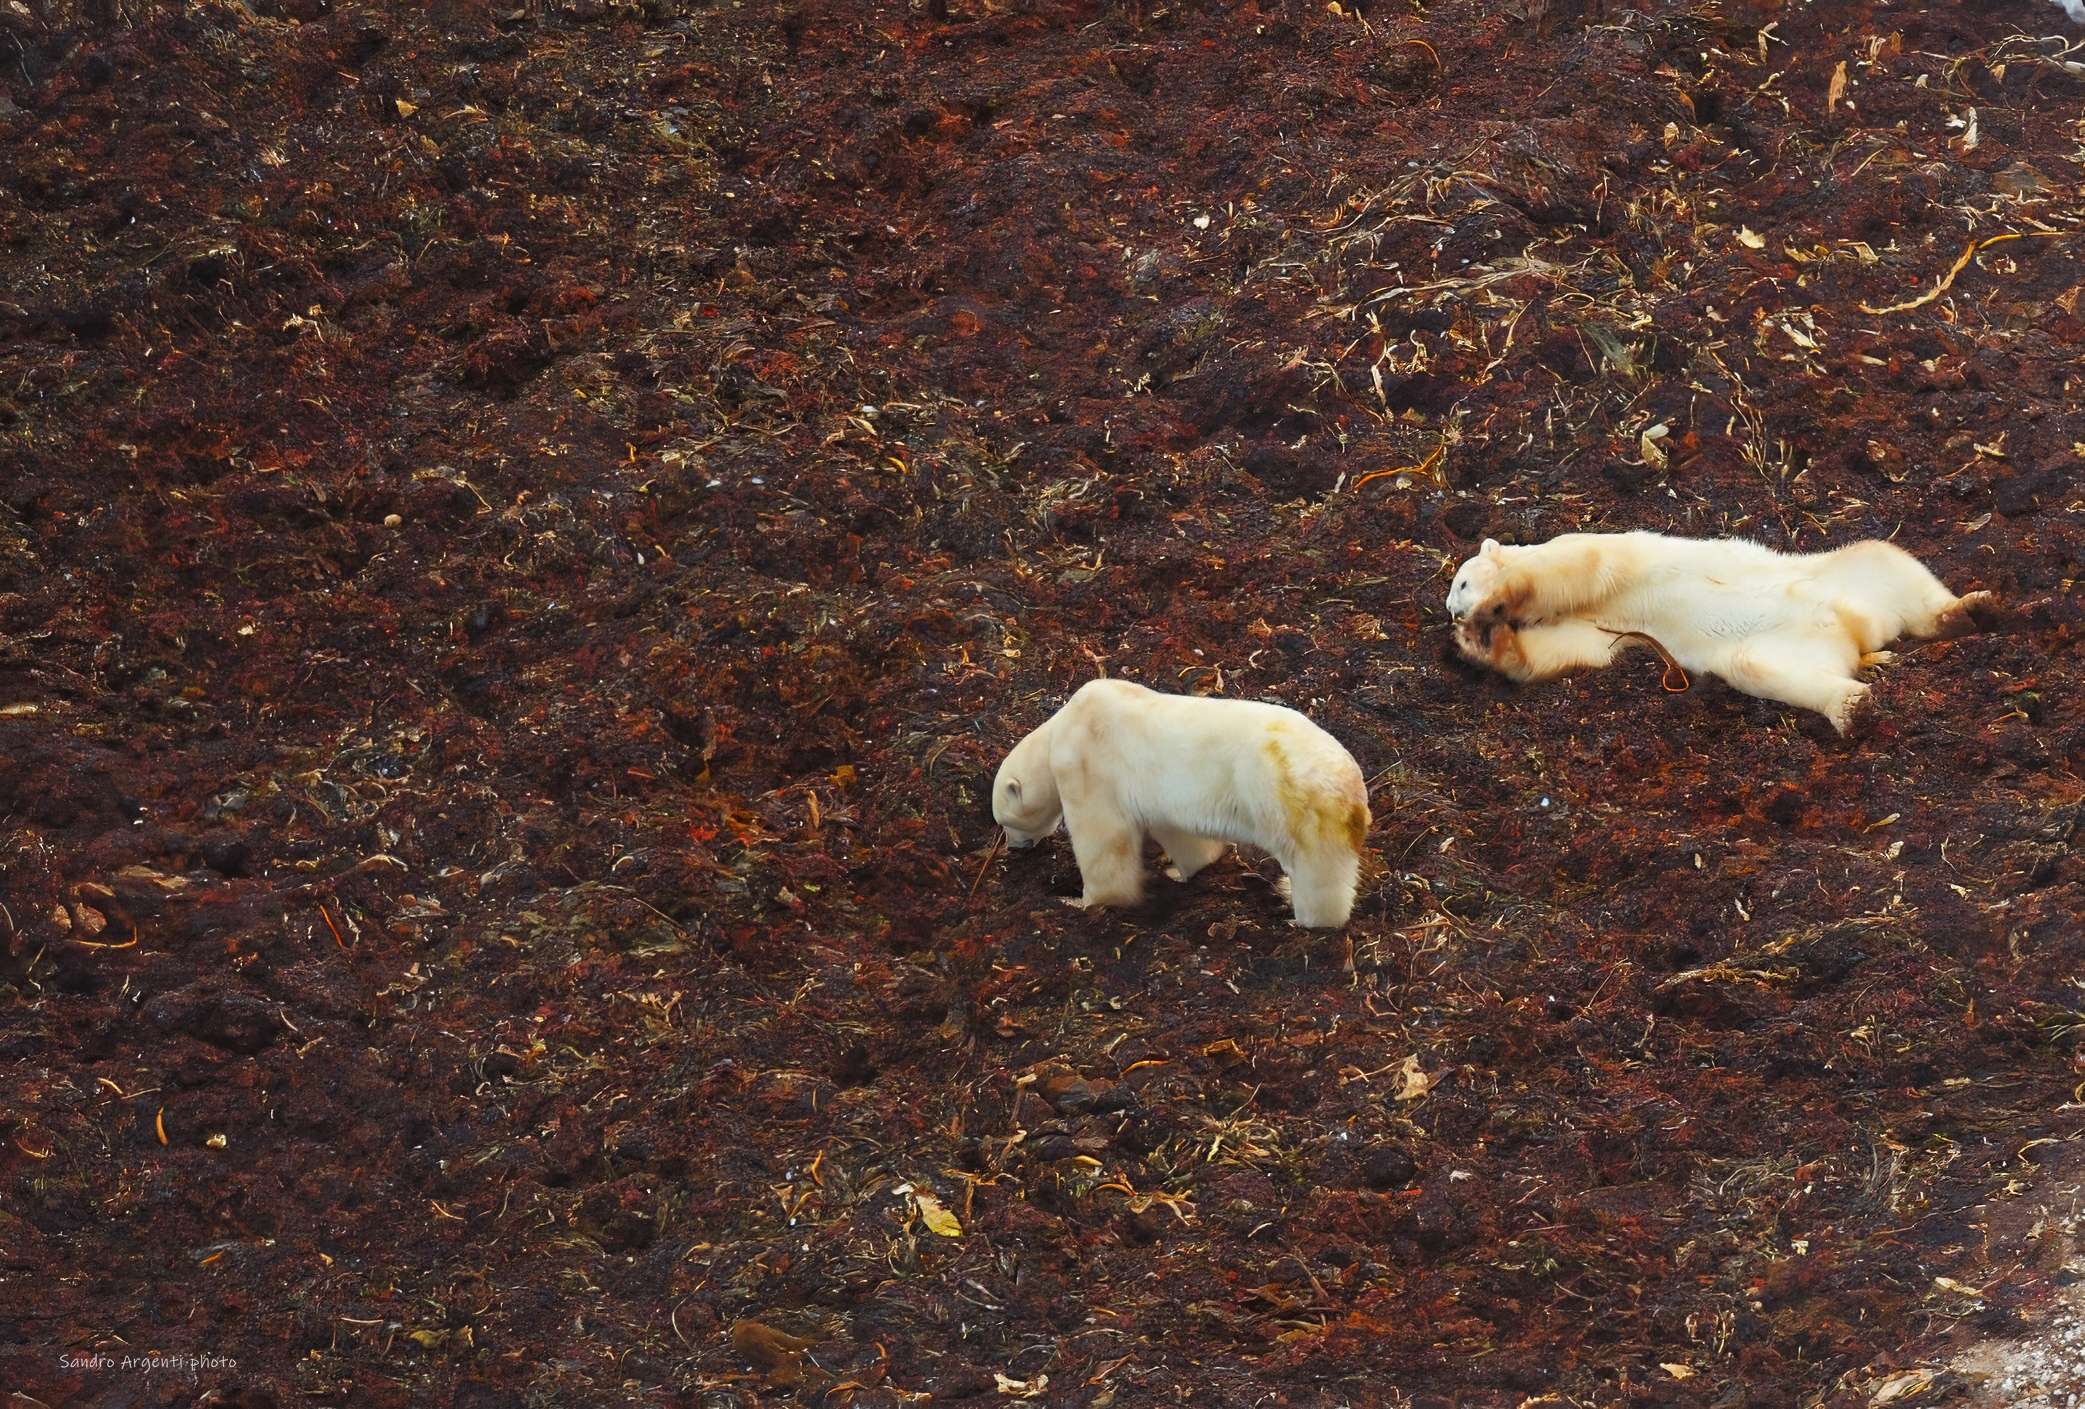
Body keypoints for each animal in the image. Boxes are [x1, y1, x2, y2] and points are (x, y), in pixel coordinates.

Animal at [992, 678, 1370, 927]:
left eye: (1004, 822)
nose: (1014, 847)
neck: (1059, 730)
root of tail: (1354, 792)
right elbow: (1179, 834)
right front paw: (1179, 871)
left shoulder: (1088, 764)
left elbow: (1104, 839)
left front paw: (1080, 901)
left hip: (1295, 809)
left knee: (1319, 874)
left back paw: (1302, 915)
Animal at [1445, 531, 1998, 734]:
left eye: (1461, 582)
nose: (1454, 613)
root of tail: (1855, 630)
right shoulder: (1607, 626)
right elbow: (1578, 647)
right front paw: (1485, 641)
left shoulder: (1605, 559)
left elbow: (1577, 564)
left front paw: (1497, 603)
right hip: (1784, 646)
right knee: (1763, 668)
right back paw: (1852, 703)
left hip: (1842, 574)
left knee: (1888, 559)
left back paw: (1971, 609)